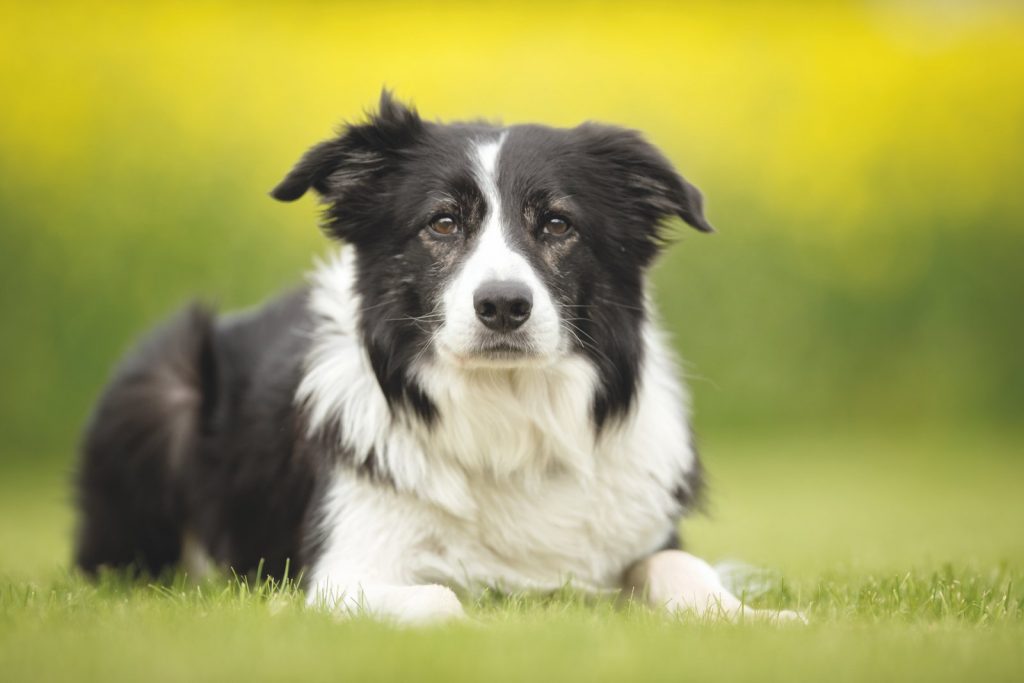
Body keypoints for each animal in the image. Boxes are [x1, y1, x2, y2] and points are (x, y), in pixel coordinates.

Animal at [74, 92, 798, 626]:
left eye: (557, 224)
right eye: (443, 223)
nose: (503, 305)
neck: (507, 416)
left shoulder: (647, 536)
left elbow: (681, 567)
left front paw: (753, 618)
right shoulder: (344, 567)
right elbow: (443, 601)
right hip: (161, 388)